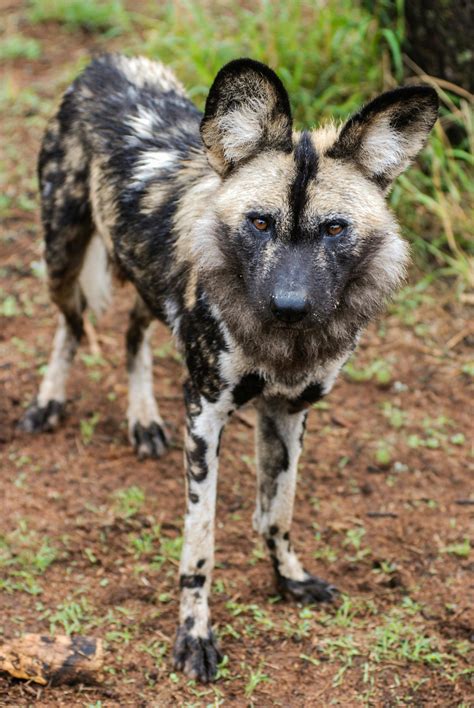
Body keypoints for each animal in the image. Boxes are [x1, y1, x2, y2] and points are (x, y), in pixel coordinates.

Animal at [20, 54, 438, 680]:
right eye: (260, 223)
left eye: (335, 228)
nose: (289, 306)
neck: (282, 346)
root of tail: (108, 61)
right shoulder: (205, 416)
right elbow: (201, 546)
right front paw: (194, 635)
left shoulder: (288, 411)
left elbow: (277, 513)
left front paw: (289, 579)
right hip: (62, 256)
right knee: (71, 327)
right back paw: (48, 402)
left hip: (147, 285)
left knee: (132, 334)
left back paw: (142, 420)